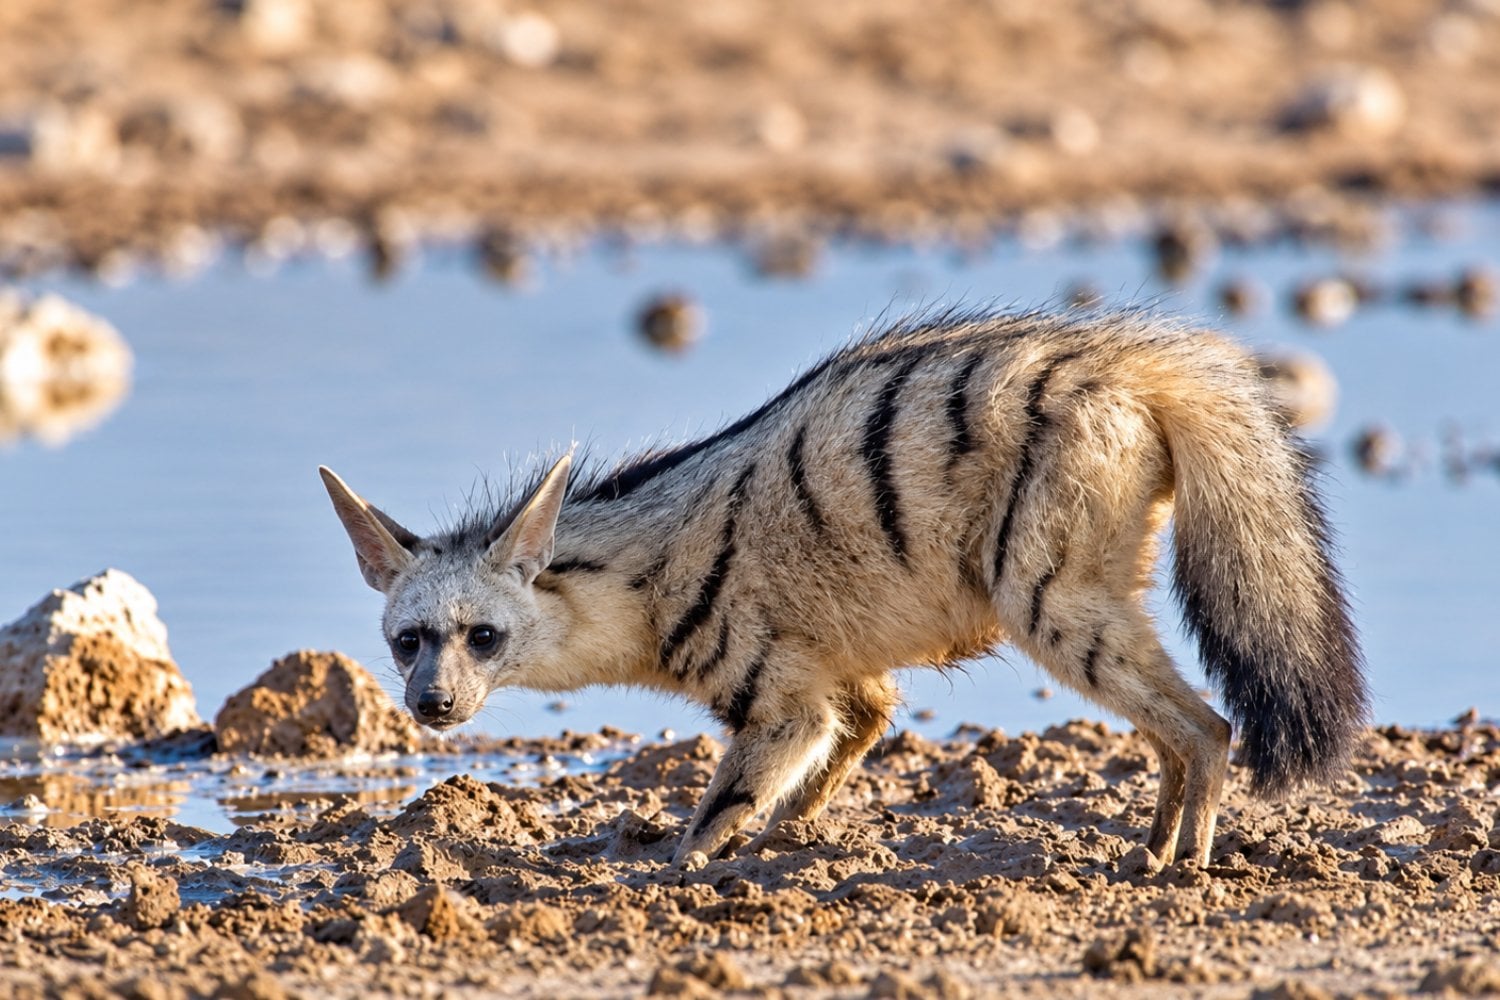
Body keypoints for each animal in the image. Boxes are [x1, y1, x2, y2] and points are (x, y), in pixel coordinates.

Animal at [320, 309, 1368, 867]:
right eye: (408, 640)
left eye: (483, 635)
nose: (432, 704)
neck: (635, 581)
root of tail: (1134, 366)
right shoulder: (840, 672)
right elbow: (860, 727)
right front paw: (786, 837)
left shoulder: (776, 686)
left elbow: (738, 788)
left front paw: (682, 866)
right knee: (1171, 727)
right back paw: (1148, 841)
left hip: (1047, 591)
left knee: (1207, 723)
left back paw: (1180, 861)